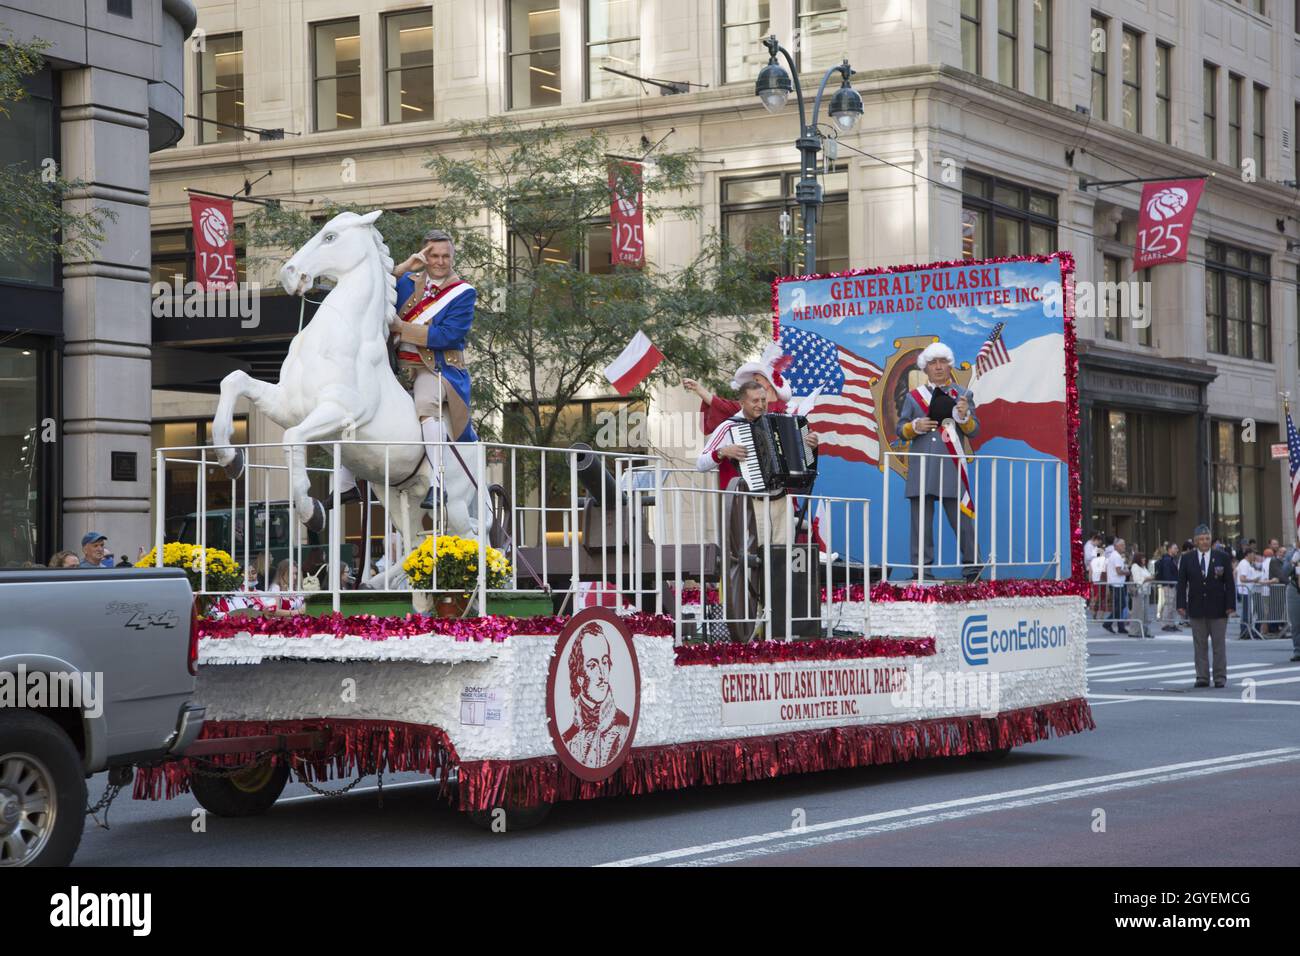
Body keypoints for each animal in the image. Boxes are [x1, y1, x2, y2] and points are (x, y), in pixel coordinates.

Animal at [211, 208, 483, 574]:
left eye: (330, 236)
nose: (289, 273)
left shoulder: (339, 411)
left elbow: (292, 438)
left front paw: (310, 511)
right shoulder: (288, 406)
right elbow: (234, 379)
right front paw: (230, 458)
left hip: (454, 505)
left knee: (475, 539)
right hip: (395, 498)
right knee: (415, 544)